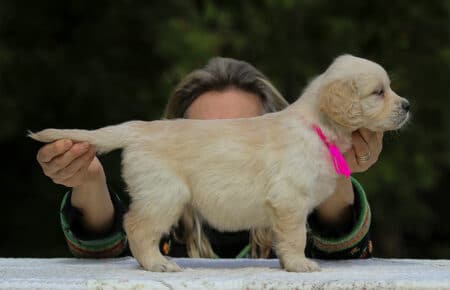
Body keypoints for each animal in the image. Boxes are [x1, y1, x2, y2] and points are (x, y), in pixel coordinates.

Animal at [29, 54, 408, 272]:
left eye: (388, 89)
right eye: (378, 93)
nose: (407, 106)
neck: (317, 125)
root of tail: (138, 128)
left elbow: (285, 238)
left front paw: (289, 263)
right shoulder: (290, 200)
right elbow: (296, 236)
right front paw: (300, 264)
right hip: (164, 195)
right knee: (136, 226)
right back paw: (158, 264)